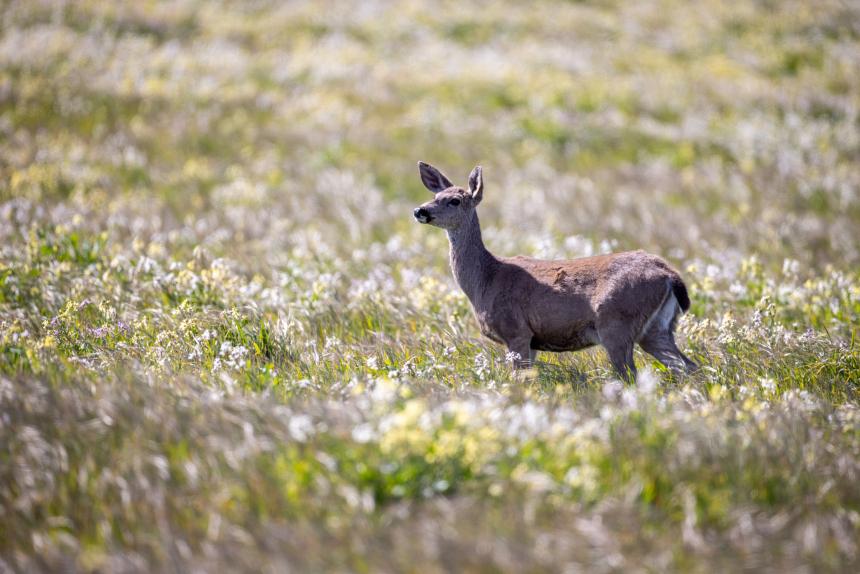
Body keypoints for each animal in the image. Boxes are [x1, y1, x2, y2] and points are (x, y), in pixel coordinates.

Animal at [412, 161, 700, 382]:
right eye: (435, 196)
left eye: (454, 200)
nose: (419, 210)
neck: (485, 280)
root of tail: (670, 276)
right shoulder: (530, 340)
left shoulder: (516, 330)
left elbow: (521, 381)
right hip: (657, 328)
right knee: (689, 366)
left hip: (617, 323)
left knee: (631, 375)